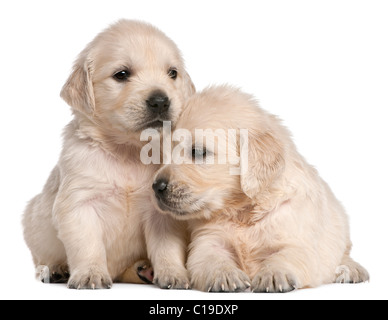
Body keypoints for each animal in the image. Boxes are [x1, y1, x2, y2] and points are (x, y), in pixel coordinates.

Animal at [22, 20, 194, 290]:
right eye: (121, 74)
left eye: (172, 73)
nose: (160, 101)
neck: (127, 152)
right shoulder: (79, 203)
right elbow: (87, 244)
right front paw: (90, 273)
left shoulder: (161, 210)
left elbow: (166, 246)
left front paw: (173, 273)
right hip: (32, 222)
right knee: (41, 258)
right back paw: (56, 269)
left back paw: (144, 269)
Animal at [152, 85, 370, 292]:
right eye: (165, 154)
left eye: (198, 152)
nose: (156, 186)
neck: (243, 212)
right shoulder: (209, 239)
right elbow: (210, 257)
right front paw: (225, 275)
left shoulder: (297, 238)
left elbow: (286, 255)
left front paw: (274, 275)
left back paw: (352, 269)